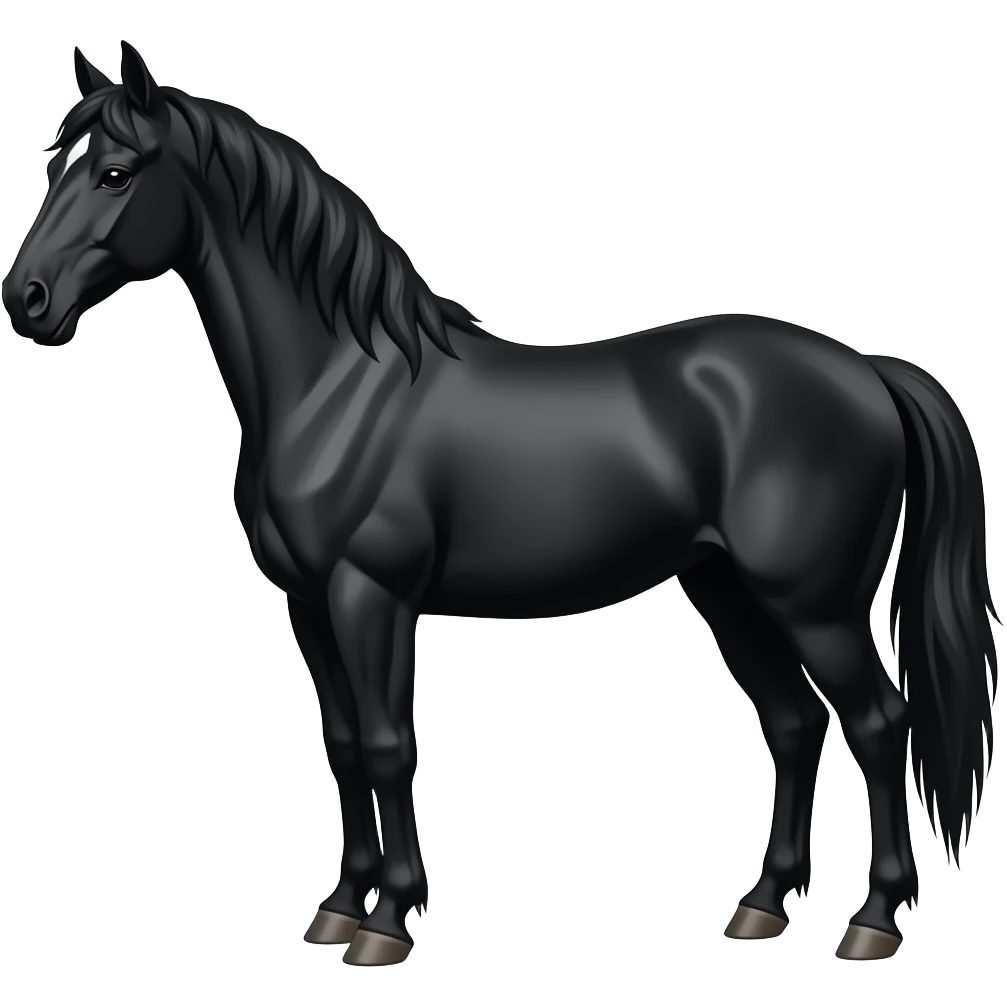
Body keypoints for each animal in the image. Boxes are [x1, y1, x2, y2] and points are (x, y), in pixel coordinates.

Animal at [2, 43, 998, 966]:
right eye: (53, 164)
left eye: (116, 172)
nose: (27, 300)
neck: (340, 383)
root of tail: (866, 370)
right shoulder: (308, 601)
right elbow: (341, 744)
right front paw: (337, 908)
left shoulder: (372, 595)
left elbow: (387, 744)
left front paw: (387, 922)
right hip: (727, 591)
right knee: (792, 727)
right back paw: (760, 906)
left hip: (815, 605)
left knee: (878, 726)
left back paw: (871, 921)